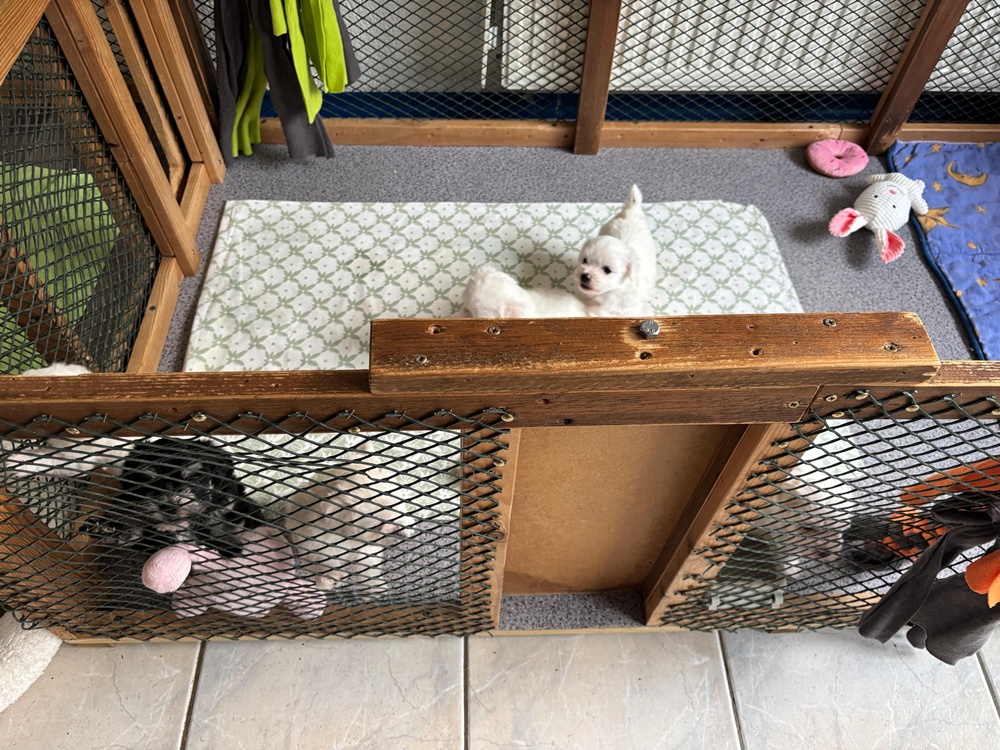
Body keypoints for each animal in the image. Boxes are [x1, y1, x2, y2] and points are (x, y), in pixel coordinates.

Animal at [574, 185, 658, 316]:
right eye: (585, 261)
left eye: (607, 270)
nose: (584, 276)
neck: (609, 292)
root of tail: (632, 210)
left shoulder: (628, 308)